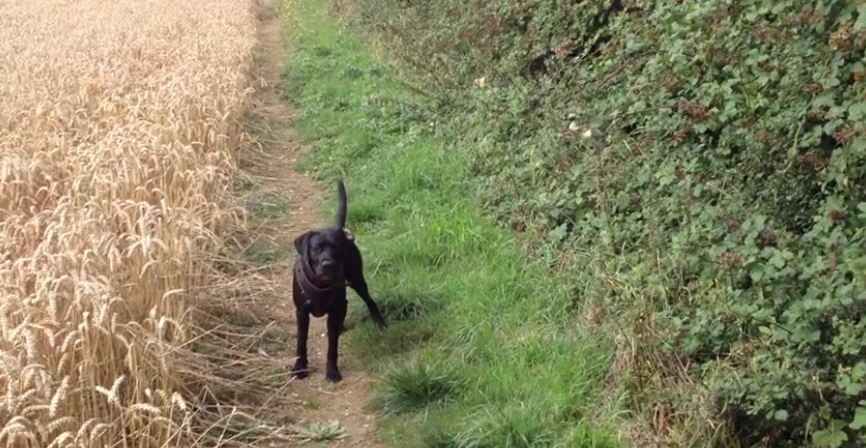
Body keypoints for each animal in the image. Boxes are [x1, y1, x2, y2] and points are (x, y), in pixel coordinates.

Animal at [290, 178, 384, 382]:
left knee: (369, 301)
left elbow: (332, 346)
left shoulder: (335, 308)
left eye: (336, 248)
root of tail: (339, 228)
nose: (328, 263)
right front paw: (299, 368)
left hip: (357, 279)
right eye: (316, 249)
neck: (320, 284)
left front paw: (332, 371)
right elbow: (301, 341)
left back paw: (379, 322)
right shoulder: (301, 312)